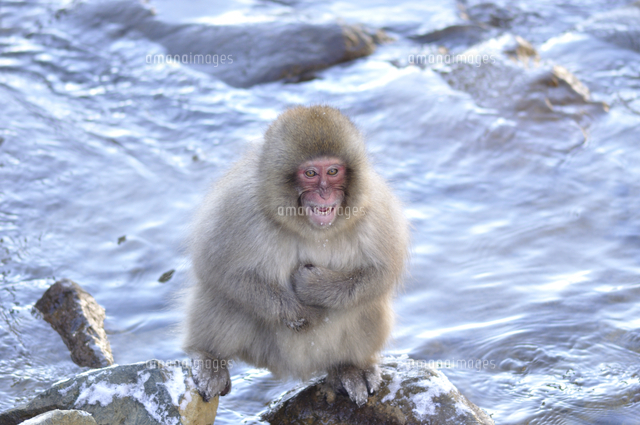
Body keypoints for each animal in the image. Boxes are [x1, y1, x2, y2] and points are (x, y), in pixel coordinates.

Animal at [182, 105, 409, 406]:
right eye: (311, 173)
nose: (324, 193)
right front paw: (300, 312)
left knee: (367, 305)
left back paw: (350, 368)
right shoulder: (239, 204)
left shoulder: (374, 209)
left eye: (333, 171)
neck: (309, 227)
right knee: (222, 295)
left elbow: (380, 273)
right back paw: (210, 360)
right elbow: (218, 268)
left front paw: (315, 287)